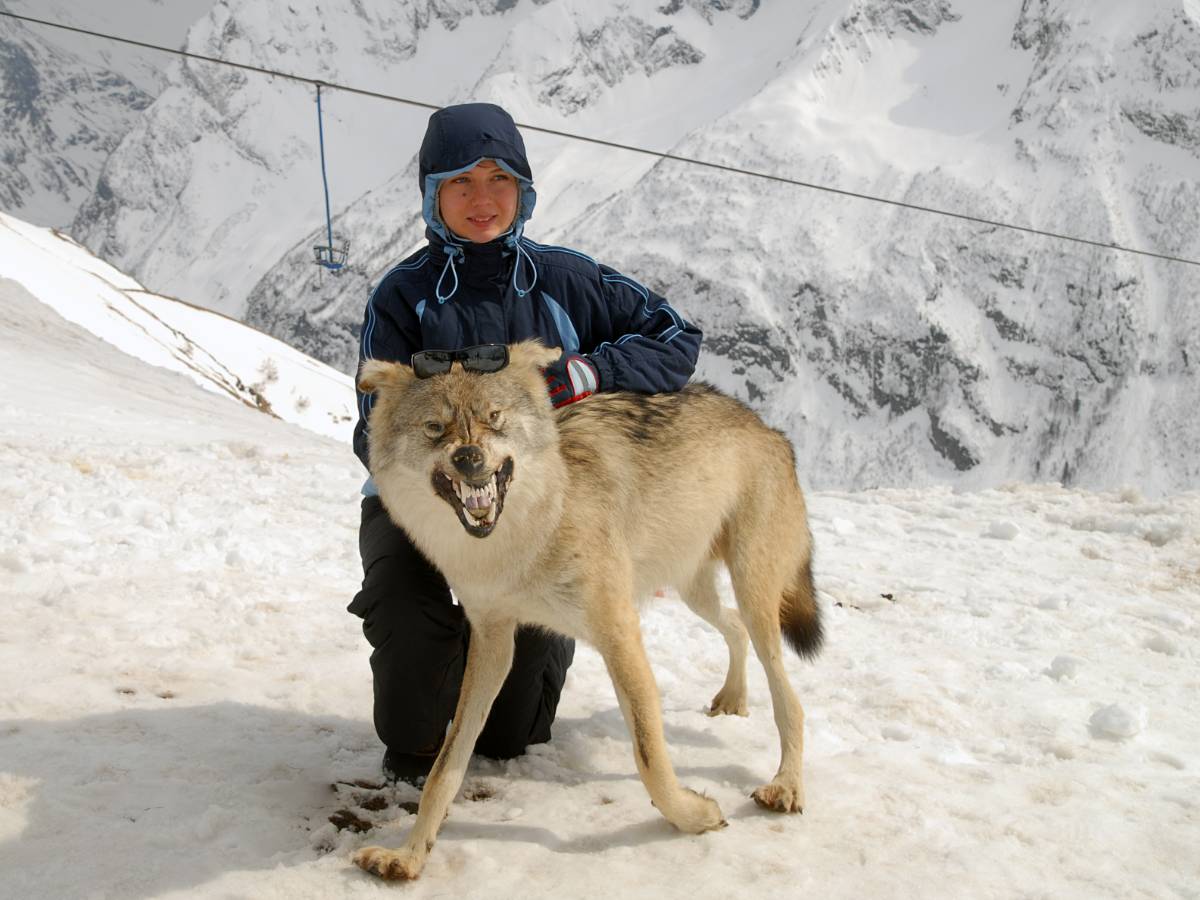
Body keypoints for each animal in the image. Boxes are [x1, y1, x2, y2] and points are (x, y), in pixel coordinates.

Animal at [350, 340, 820, 883]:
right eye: (435, 427)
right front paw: (408, 855)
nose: (469, 458)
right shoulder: (493, 639)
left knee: (789, 699)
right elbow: (445, 768)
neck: (527, 535)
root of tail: (770, 430)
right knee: (735, 628)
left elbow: (648, 756)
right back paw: (732, 700)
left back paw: (786, 785)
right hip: (694, 590)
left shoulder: (618, 631)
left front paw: (696, 816)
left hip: (753, 590)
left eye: (494, 418)